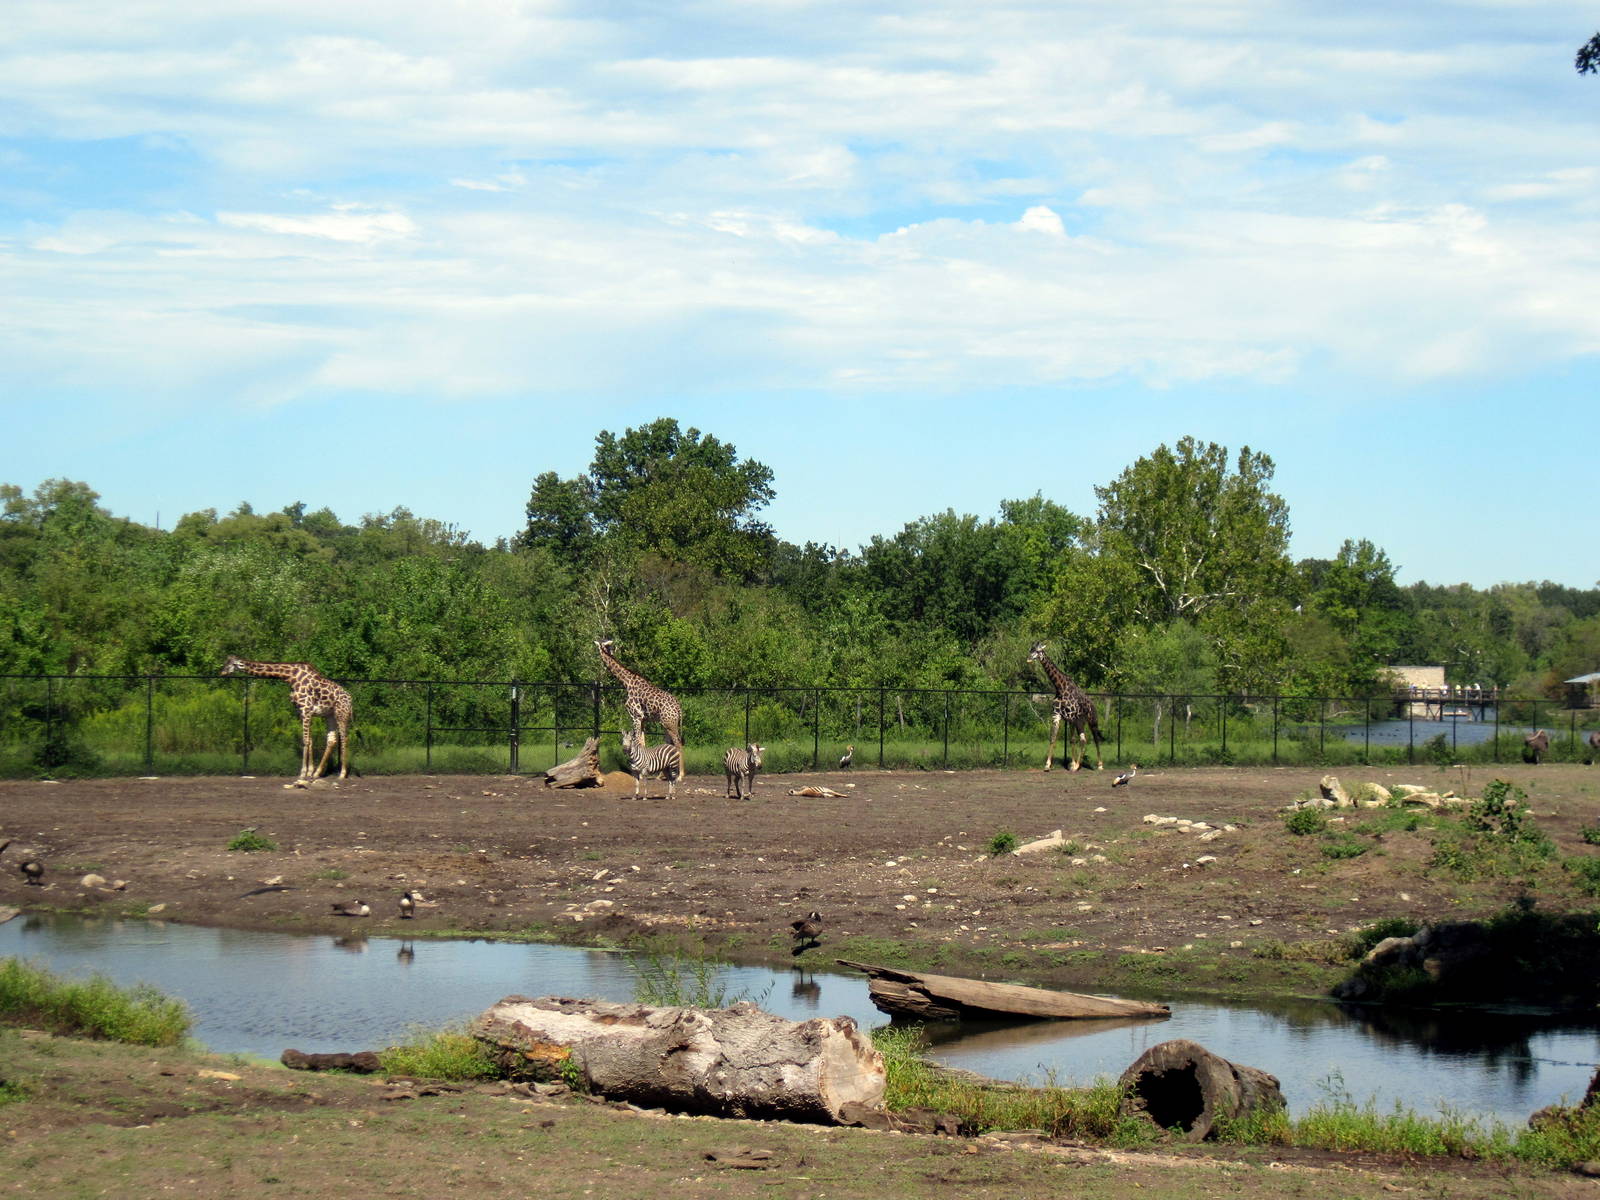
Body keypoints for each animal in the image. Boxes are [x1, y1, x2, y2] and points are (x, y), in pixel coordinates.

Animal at [221, 656, 353, 784]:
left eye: (230, 664)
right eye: (225, 661)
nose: (221, 672)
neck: (291, 677)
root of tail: (350, 700)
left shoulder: (306, 710)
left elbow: (305, 741)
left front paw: (302, 774)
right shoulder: (301, 712)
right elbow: (310, 741)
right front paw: (310, 773)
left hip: (341, 714)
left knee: (344, 738)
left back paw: (342, 774)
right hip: (330, 715)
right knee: (332, 740)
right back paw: (317, 773)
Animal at [1027, 642, 1104, 772]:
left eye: (1038, 651)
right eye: (1030, 649)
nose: (1029, 658)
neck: (1060, 688)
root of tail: (1093, 705)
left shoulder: (1073, 718)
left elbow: (1077, 740)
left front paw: (1075, 765)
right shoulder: (1058, 716)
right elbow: (1055, 738)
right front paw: (1048, 765)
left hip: (1091, 721)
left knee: (1092, 739)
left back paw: (1098, 765)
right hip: (1080, 722)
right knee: (1080, 740)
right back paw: (1076, 764)